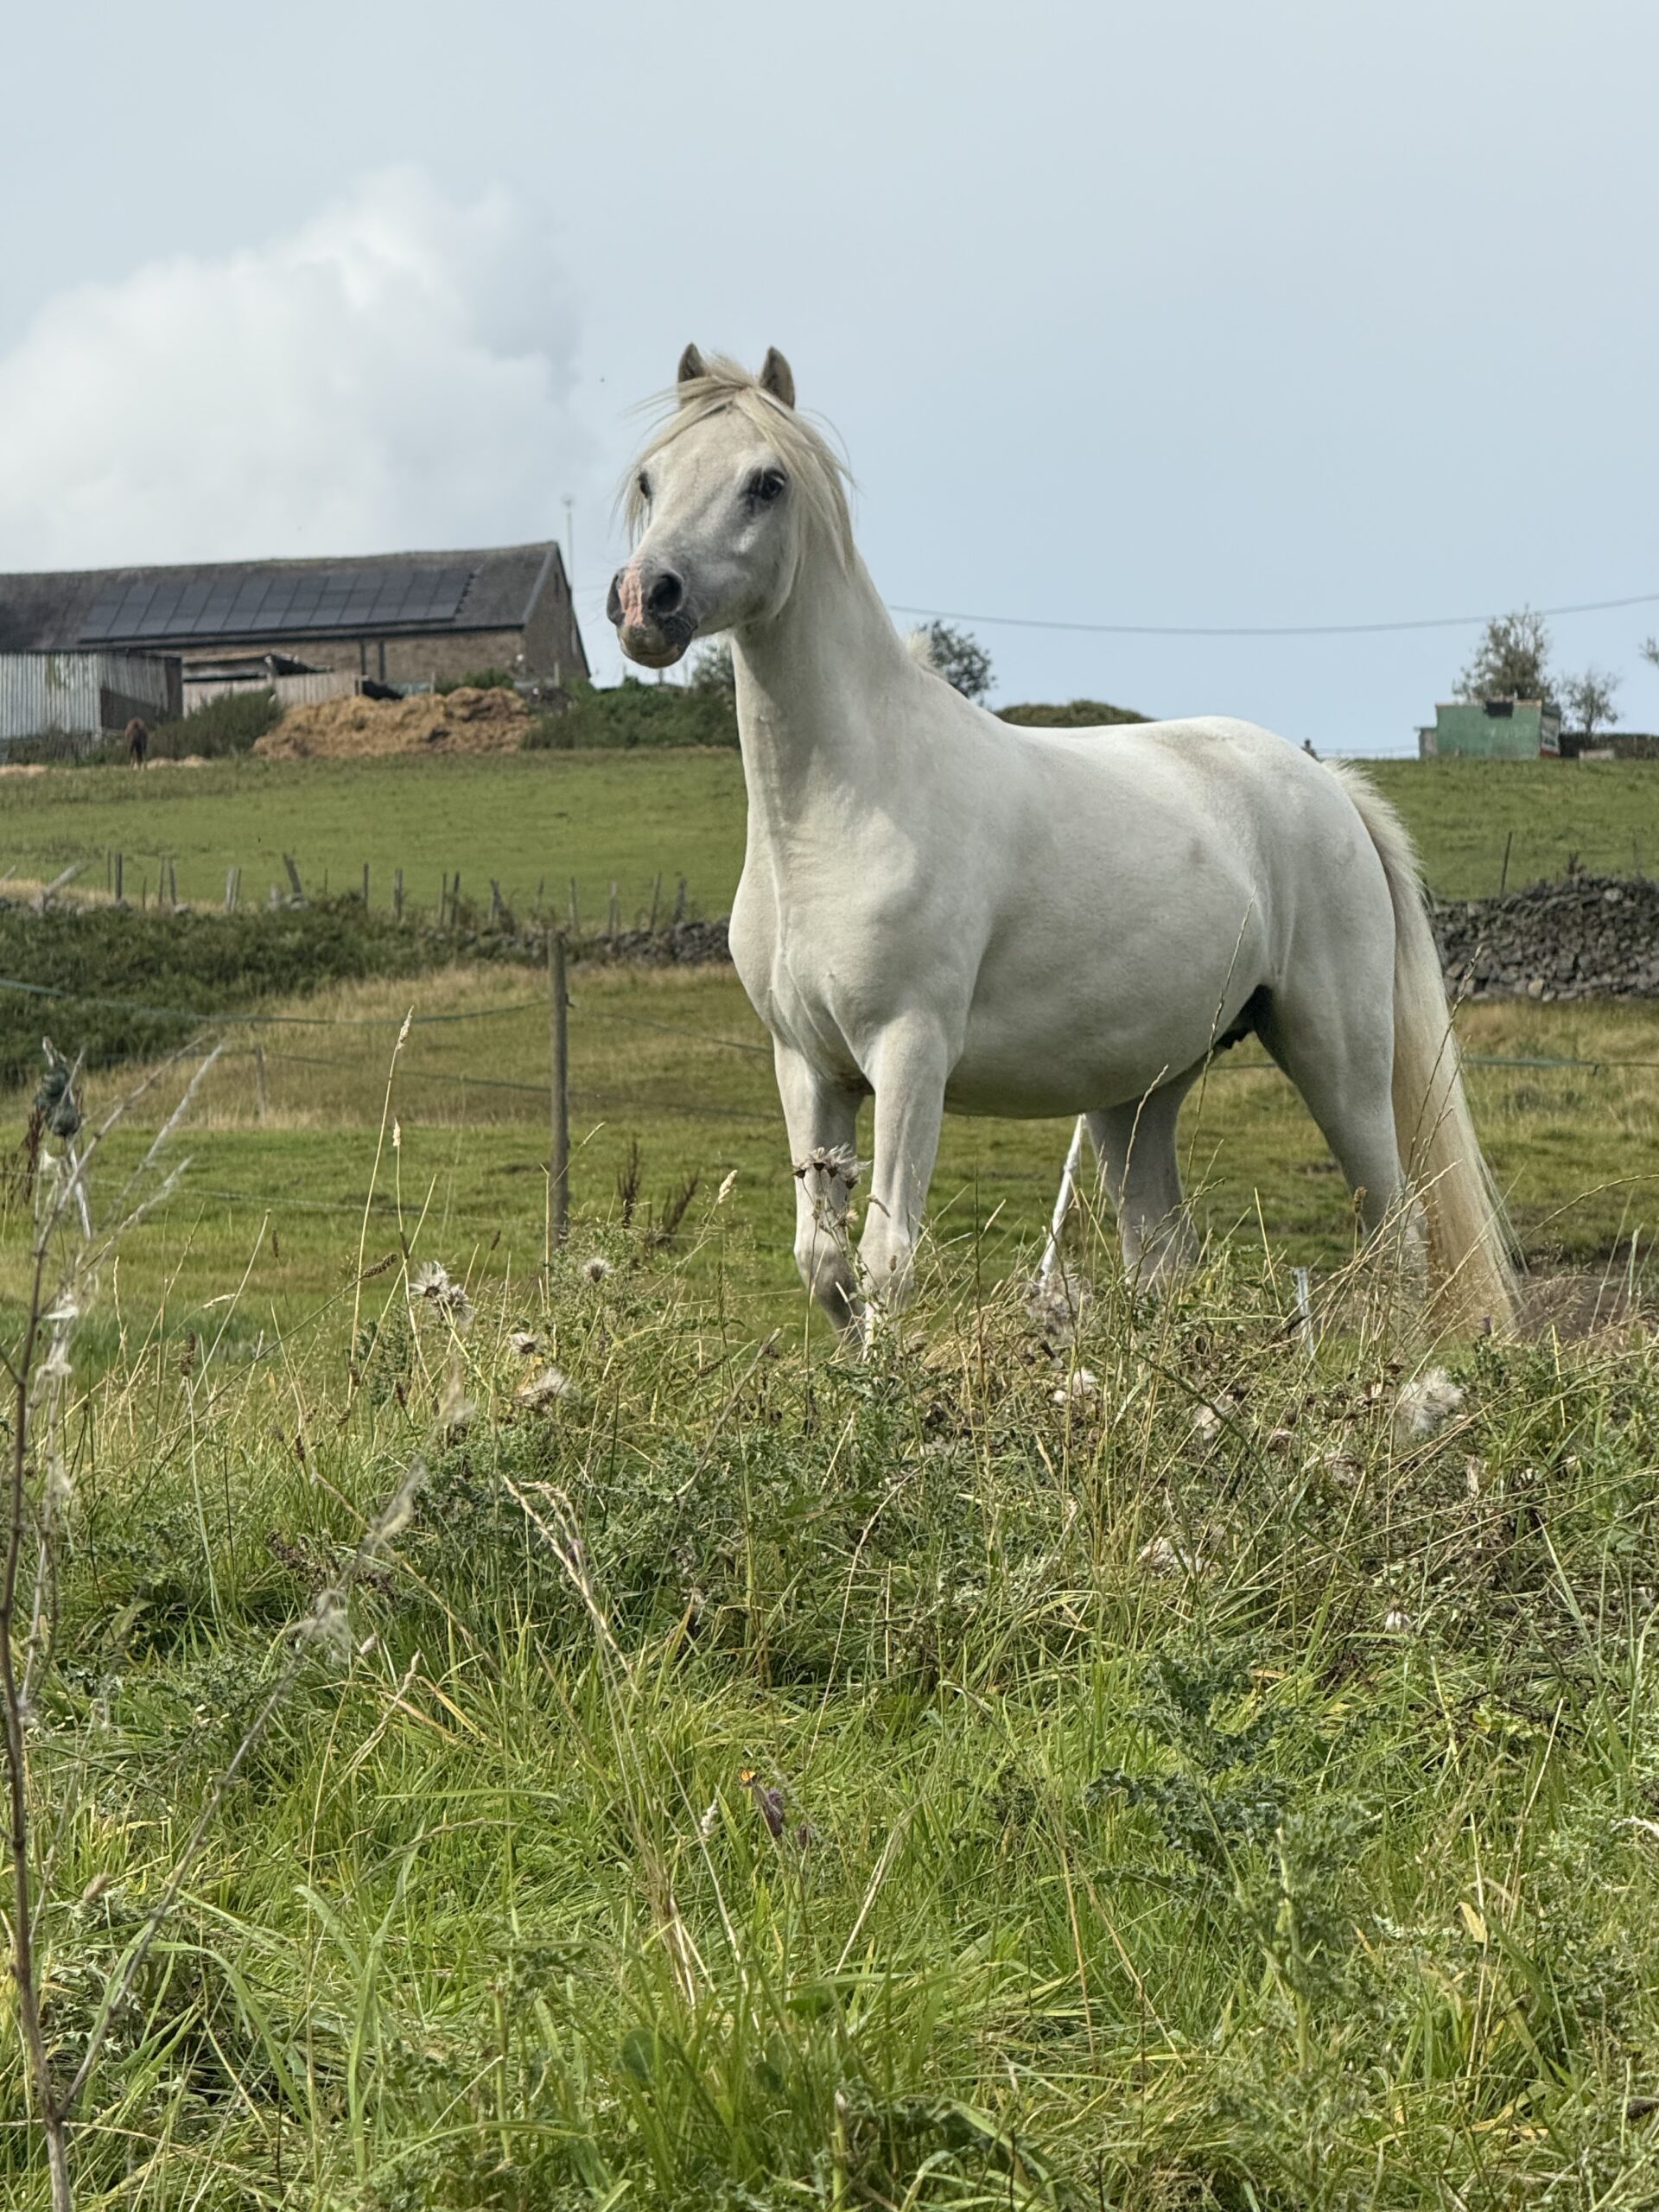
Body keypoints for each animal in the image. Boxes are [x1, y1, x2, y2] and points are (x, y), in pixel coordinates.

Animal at [607, 347, 1516, 1339]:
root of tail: (1329, 787)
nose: (646, 601)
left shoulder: (910, 1053)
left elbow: (888, 1262)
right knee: (1163, 1256)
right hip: (1139, 1096)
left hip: (1337, 1059)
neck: (837, 812)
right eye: (651, 478)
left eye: (766, 483)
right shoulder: (807, 1067)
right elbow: (826, 1266)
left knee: (1398, 1240)